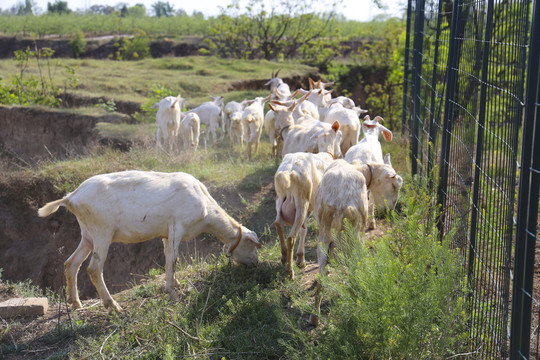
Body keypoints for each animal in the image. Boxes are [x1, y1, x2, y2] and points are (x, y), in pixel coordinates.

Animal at [36, 170, 262, 310]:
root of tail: (71, 197)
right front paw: (172, 292)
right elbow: (173, 259)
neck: (207, 211)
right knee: (93, 269)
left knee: (71, 263)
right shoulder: (178, 226)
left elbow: (168, 257)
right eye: (253, 245)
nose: (256, 263)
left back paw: (76, 303)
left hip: (88, 234)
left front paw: (175, 283)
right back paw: (113, 306)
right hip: (102, 231)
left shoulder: (166, 233)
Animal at [276, 150, 336, 280]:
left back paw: (284, 256)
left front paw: (300, 259)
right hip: (301, 203)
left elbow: (304, 231)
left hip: (280, 201)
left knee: (278, 224)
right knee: (291, 237)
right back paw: (290, 271)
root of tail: (288, 172)